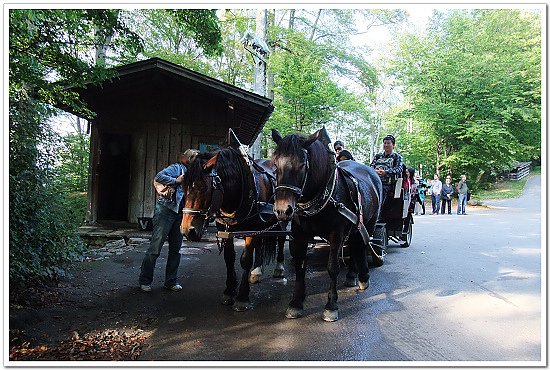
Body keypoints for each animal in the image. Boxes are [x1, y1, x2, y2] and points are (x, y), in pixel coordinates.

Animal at [181, 143, 286, 310]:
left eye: (203, 187)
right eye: (183, 187)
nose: (187, 231)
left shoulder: (251, 229)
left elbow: (245, 259)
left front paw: (242, 297)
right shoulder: (225, 229)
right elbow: (229, 258)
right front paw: (229, 291)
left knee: (281, 239)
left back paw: (279, 268)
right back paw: (257, 271)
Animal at [272, 127, 384, 320]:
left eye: (302, 165)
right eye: (275, 165)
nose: (282, 210)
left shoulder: (336, 233)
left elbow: (333, 267)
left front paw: (331, 305)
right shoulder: (299, 233)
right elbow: (300, 265)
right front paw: (296, 302)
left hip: (369, 223)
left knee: (362, 246)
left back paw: (363, 277)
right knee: (355, 245)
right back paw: (352, 275)